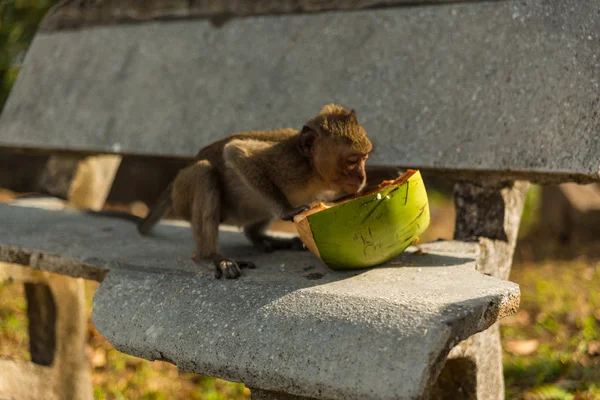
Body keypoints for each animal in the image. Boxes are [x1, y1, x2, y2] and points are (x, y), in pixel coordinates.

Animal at [138, 103, 372, 278]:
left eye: (364, 159)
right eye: (352, 161)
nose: (362, 177)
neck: (313, 172)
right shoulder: (288, 165)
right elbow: (236, 152)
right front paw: (287, 211)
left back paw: (260, 237)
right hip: (182, 194)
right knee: (204, 172)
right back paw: (210, 256)